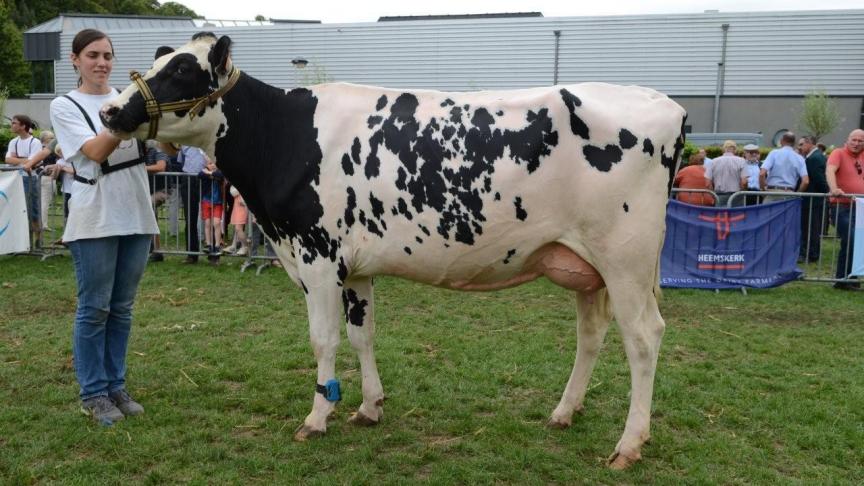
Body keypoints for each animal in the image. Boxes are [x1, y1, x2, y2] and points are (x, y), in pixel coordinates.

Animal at [101, 33, 684, 468]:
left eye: (181, 70)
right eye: (158, 63)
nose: (108, 111)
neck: (284, 136)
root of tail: (663, 102)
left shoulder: (317, 257)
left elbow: (323, 339)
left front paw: (316, 418)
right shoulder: (355, 268)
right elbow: (363, 335)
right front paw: (368, 407)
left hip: (626, 260)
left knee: (644, 338)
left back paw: (629, 445)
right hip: (586, 265)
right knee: (592, 334)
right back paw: (565, 412)